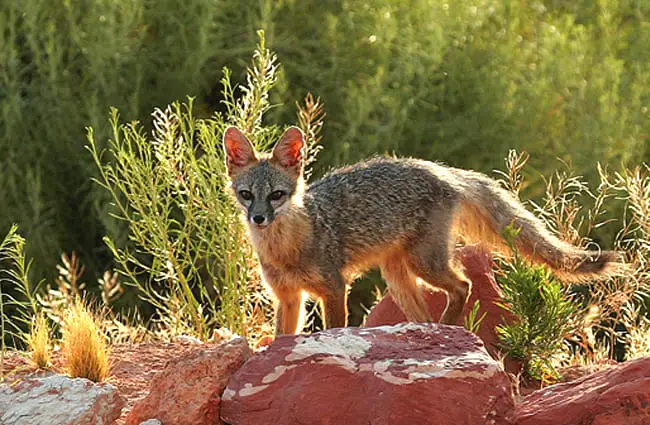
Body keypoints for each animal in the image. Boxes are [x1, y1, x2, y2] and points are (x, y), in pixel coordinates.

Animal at [221, 126, 624, 334]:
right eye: (246, 195)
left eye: (276, 195)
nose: (259, 218)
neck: (285, 250)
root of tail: (438, 167)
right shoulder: (288, 297)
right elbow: (280, 340)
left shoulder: (334, 288)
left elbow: (335, 328)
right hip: (399, 279)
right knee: (431, 309)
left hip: (423, 264)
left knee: (463, 285)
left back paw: (447, 329)